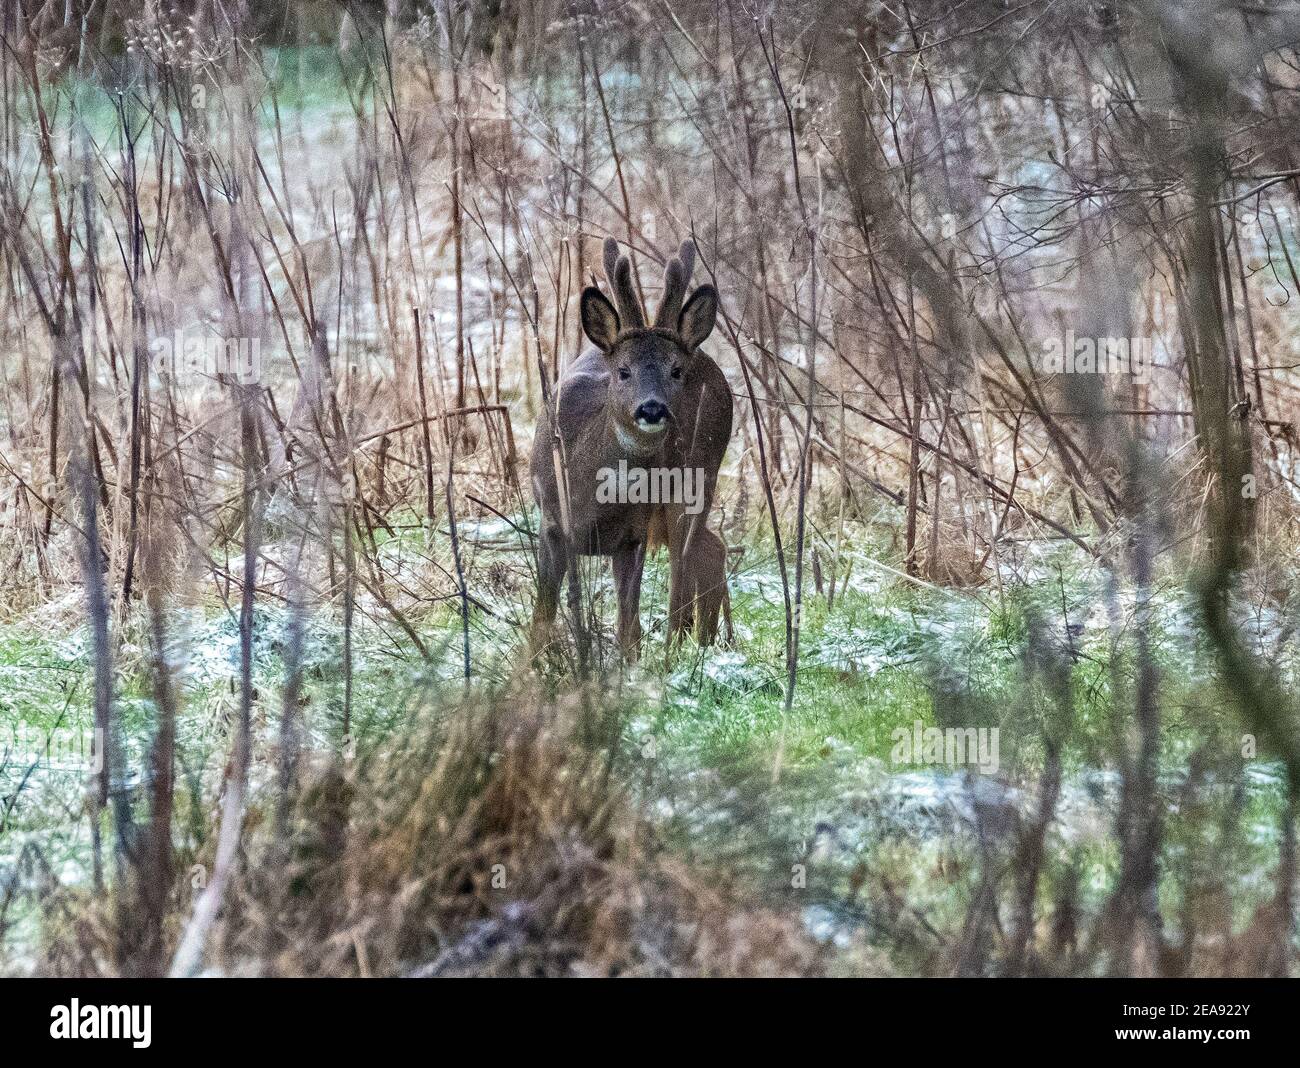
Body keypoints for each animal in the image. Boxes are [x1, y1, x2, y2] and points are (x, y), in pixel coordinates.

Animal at [527, 240, 733, 660]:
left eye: (675, 371)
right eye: (623, 371)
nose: (652, 409)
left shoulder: (633, 535)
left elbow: (629, 628)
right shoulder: (552, 524)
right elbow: (541, 619)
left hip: (696, 478)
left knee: (684, 575)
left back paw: (680, 651)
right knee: (712, 548)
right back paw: (711, 642)